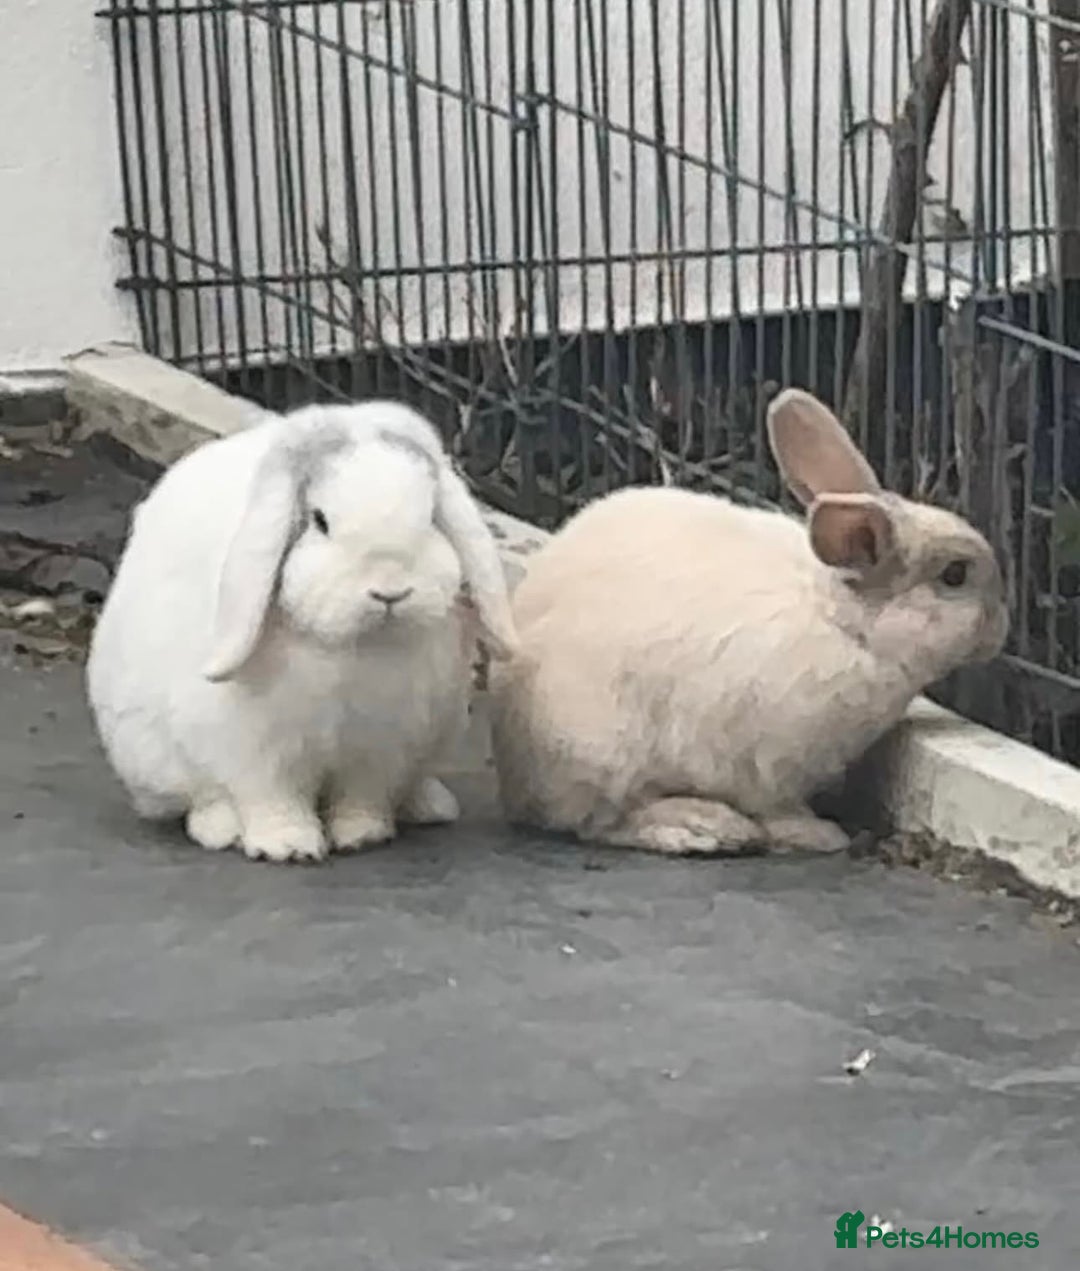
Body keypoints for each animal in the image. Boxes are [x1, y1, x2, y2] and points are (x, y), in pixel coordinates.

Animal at [86, 399, 517, 863]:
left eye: (431, 518)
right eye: (320, 521)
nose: (390, 591)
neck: (361, 645)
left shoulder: (381, 749)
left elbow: (362, 798)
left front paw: (361, 835)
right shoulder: (256, 753)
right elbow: (271, 799)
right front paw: (288, 847)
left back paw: (431, 806)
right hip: (156, 756)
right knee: (202, 798)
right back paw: (220, 829)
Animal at [488, 388, 1008, 856]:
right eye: (955, 575)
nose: (1002, 627)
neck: (846, 626)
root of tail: (515, 776)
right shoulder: (771, 764)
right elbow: (778, 808)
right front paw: (821, 836)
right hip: (600, 752)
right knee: (601, 822)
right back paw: (703, 828)